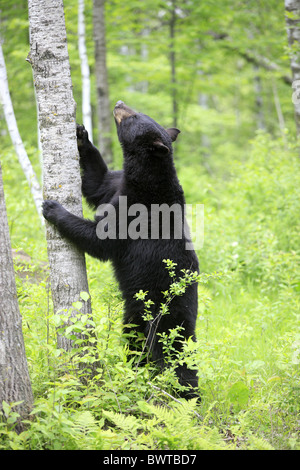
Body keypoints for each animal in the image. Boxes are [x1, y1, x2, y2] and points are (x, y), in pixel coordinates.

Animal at [42, 100, 199, 400]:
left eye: (134, 116)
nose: (118, 104)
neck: (144, 180)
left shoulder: (134, 214)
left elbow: (100, 238)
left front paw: (53, 208)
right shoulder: (116, 186)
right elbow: (97, 183)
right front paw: (81, 135)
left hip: (166, 316)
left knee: (177, 358)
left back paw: (186, 396)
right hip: (136, 315)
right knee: (136, 344)